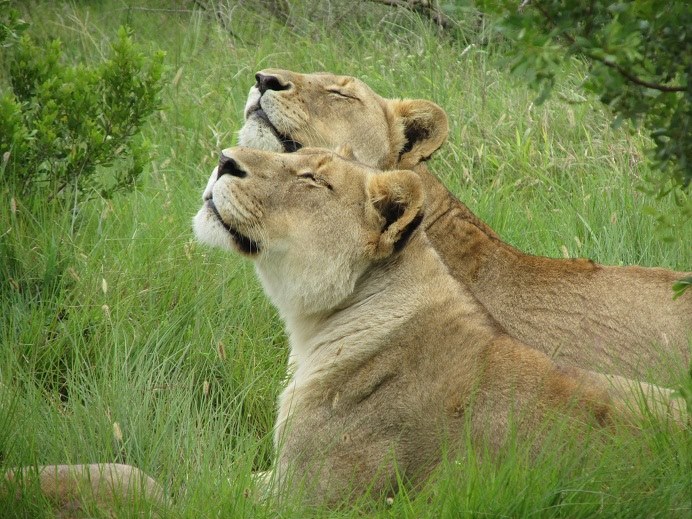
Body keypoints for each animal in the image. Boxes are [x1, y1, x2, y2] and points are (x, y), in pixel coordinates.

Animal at [192, 146, 680, 508]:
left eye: (313, 180)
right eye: (293, 154)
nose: (224, 159)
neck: (314, 330)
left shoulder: (308, 494)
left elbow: (203, 481)